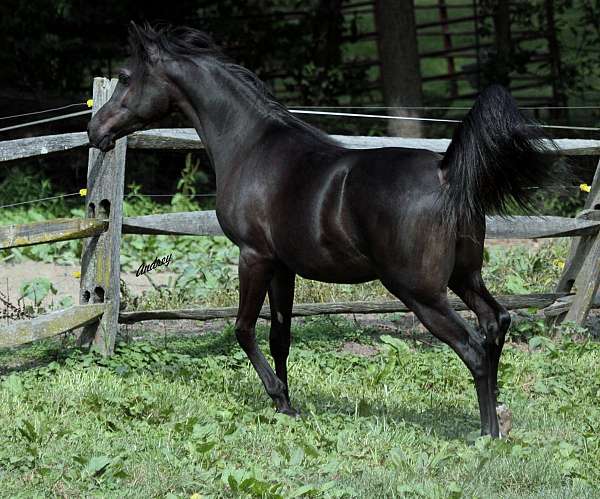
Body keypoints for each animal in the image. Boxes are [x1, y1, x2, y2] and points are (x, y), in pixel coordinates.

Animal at [86, 23, 560, 438]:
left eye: (125, 77)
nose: (95, 130)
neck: (251, 145)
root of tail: (447, 174)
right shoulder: (283, 266)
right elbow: (280, 335)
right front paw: (285, 402)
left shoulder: (253, 256)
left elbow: (243, 328)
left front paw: (277, 396)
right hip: (466, 277)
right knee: (496, 322)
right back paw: (500, 412)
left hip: (421, 292)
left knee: (474, 347)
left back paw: (488, 432)